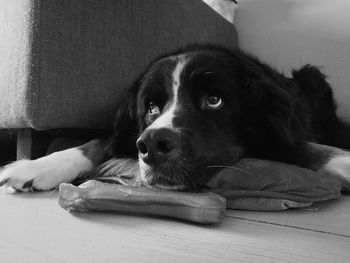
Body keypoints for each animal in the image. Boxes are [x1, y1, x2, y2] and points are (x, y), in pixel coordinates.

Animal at [0, 44, 350, 194]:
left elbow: (298, 146)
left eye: (214, 100)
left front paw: (340, 161)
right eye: (151, 107)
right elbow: (100, 142)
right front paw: (37, 166)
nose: (152, 145)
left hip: (312, 76)